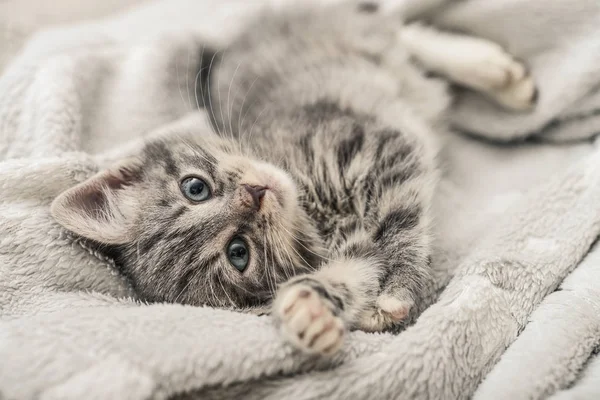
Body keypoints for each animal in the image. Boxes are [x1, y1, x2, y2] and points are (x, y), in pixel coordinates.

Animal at [52, 1, 540, 354]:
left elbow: (401, 226)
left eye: (195, 187)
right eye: (238, 253)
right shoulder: (349, 240)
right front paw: (312, 310)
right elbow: (357, 268)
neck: (311, 205)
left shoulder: (376, 146)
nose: (254, 194)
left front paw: (399, 286)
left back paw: (493, 72)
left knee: (394, 29)